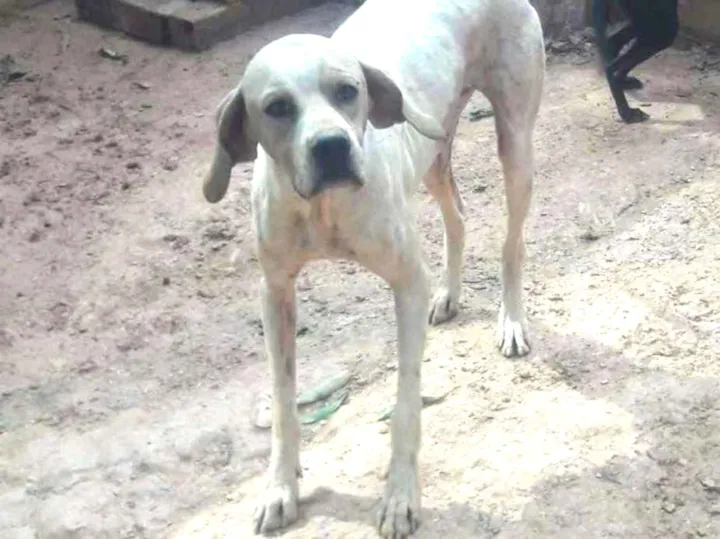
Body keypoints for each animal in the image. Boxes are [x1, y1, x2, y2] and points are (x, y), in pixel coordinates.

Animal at [202, 0, 544, 536]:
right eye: (277, 107)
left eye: (348, 91)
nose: (331, 146)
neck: (323, 210)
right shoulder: (275, 292)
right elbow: (282, 399)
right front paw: (280, 488)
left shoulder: (406, 283)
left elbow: (405, 402)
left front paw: (401, 497)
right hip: (432, 148)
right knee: (458, 216)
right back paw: (449, 294)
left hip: (515, 143)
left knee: (513, 243)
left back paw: (510, 321)